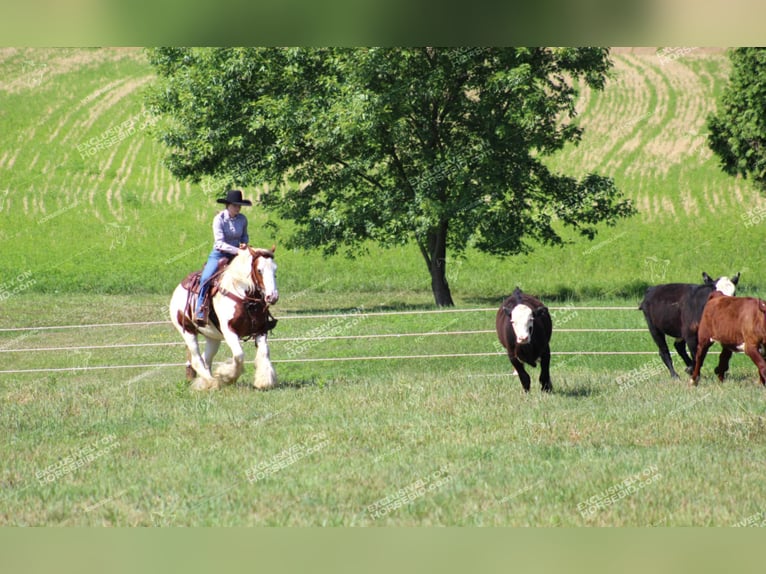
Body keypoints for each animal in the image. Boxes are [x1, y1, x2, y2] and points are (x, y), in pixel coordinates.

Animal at [171, 245, 282, 394]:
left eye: (275, 269)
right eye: (259, 270)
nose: (272, 296)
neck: (245, 297)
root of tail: (178, 288)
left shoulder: (261, 330)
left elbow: (264, 352)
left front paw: (264, 381)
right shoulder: (229, 331)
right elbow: (239, 355)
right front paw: (227, 376)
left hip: (213, 337)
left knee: (206, 359)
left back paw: (204, 383)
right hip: (188, 332)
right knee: (196, 360)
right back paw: (212, 382)